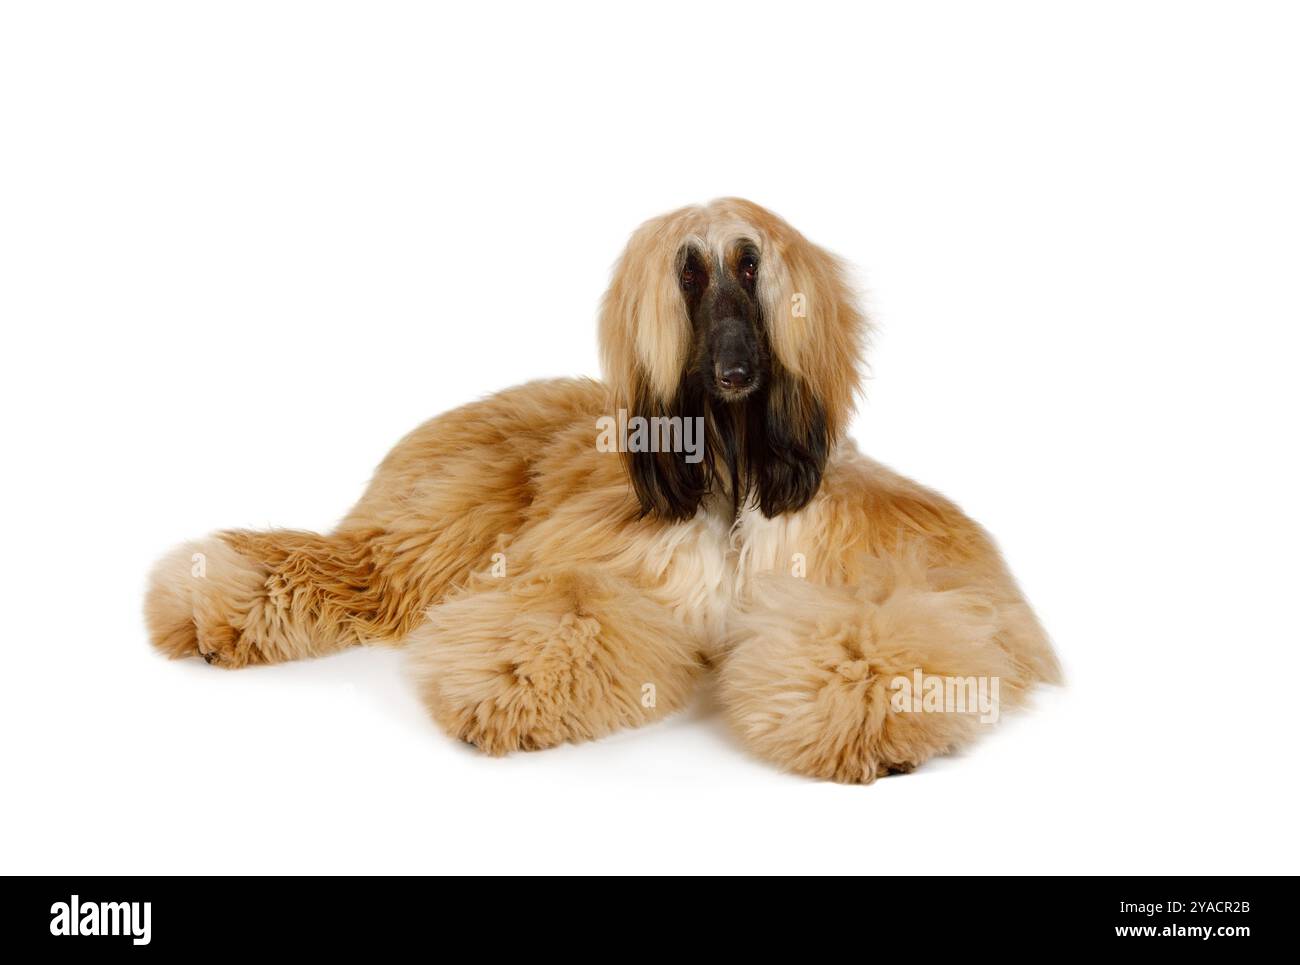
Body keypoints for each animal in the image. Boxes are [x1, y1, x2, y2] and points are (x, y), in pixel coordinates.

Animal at [144, 200, 1055, 780]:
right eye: (688, 276)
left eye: (750, 264)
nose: (735, 371)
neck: (731, 473)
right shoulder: (616, 572)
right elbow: (576, 607)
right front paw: (509, 682)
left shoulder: (881, 563)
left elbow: (892, 621)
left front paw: (872, 712)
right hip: (441, 523)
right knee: (354, 567)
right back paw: (208, 600)